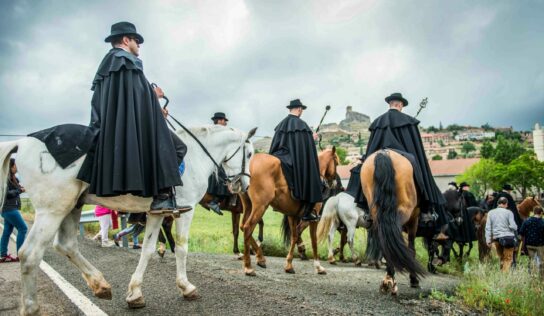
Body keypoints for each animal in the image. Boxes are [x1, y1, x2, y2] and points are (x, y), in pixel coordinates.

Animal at [0, 124, 258, 314]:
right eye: (250, 153)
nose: (244, 185)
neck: (196, 155)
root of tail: (23, 142)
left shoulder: (156, 213)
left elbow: (148, 249)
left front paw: (135, 294)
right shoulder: (186, 210)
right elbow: (182, 248)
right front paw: (186, 287)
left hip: (72, 205)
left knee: (66, 245)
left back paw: (101, 285)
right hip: (53, 210)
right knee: (30, 254)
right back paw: (32, 308)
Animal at [240, 148, 338, 276]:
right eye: (336, 163)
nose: (335, 184)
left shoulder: (293, 215)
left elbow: (294, 237)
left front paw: (289, 265)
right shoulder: (314, 219)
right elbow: (314, 240)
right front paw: (318, 266)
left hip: (248, 206)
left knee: (243, 227)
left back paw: (260, 258)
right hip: (260, 206)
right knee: (247, 228)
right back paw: (248, 267)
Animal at [362, 149, 424, 296]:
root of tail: (384, 154)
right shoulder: (414, 218)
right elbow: (411, 247)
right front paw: (414, 279)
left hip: (376, 212)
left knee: (384, 239)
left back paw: (387, 279)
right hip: (405, 211)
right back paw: (391, 280)